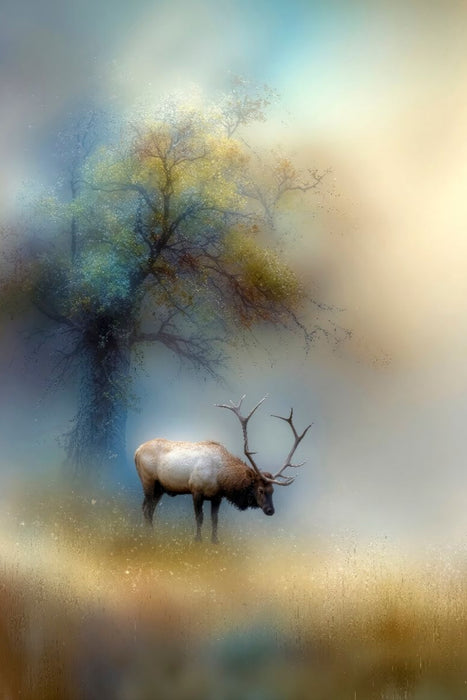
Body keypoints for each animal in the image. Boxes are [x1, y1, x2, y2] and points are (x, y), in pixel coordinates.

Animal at [134, 396, 312, 543]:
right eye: (260, 490)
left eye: (272, 491)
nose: (270, 510)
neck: (221, 477)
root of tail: (136, 451)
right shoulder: (196, 490)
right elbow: (199, 518)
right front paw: (198, 540)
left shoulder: (217, 496)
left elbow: (215, 520)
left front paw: (215, 541)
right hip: (148, 481)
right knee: (147, 509)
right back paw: (150, 535)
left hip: (160, 488)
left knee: (147, 508)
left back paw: (148, 533)